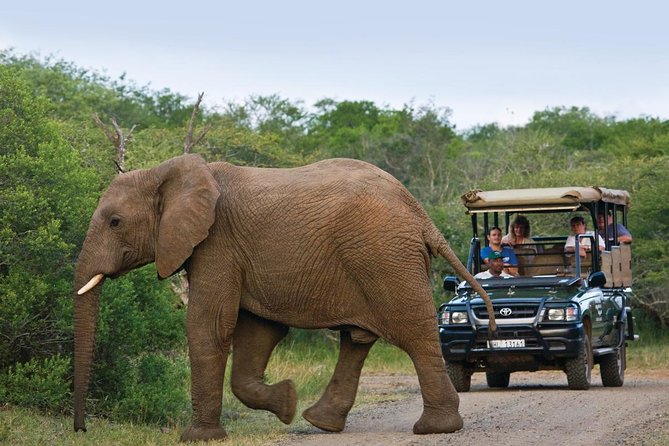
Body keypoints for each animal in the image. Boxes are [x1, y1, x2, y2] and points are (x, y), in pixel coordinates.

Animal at [74, 155, 496, 440]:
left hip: (385, 256)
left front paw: (198, 438)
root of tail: (421, 214)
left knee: (412, 333)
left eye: (115, 222)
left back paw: (435, 428)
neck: (169, 173)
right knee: (357, 339)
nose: (81, 430)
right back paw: (318, 421)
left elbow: (209, 327)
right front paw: (287, 402)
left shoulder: (217, 245)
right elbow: (258, 334)